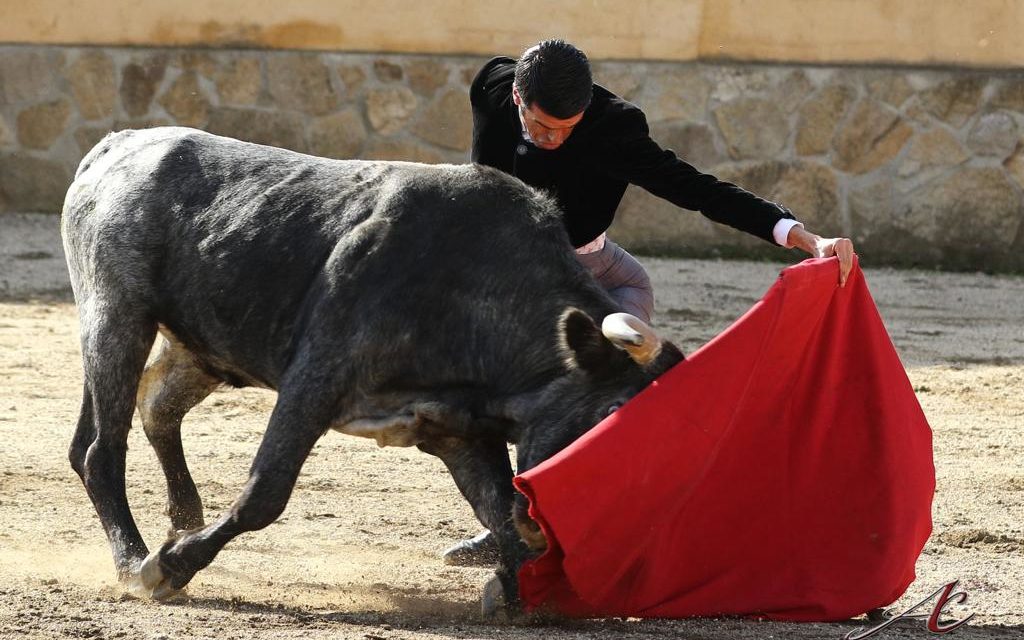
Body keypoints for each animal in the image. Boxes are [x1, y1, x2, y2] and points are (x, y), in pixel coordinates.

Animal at [64, 127, 688, 610]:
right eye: (612, 410)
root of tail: (116, 145)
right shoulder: (315, 379)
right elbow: (265, 492)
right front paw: (167, 570)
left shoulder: (458, 430)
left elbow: (499, 508)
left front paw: (512, 589)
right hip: (116, 314)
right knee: (100, 448)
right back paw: (134, 558)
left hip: (203, 349)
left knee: (151, 408)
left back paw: (183, 517)